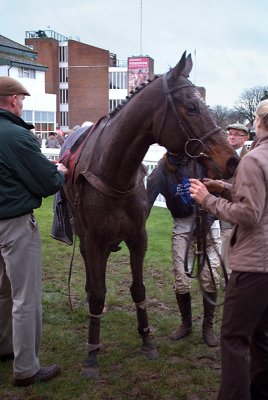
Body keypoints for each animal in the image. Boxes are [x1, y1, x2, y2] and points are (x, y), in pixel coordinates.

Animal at [64, 51, 239, 376]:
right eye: (192, 106)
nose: (232, 160)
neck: (113, 174)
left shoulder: (138, 239)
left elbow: (139, 289)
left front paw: (147, 341)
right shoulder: (94, 241)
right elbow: (98, 292)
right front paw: (92, 355)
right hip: (83, 235)